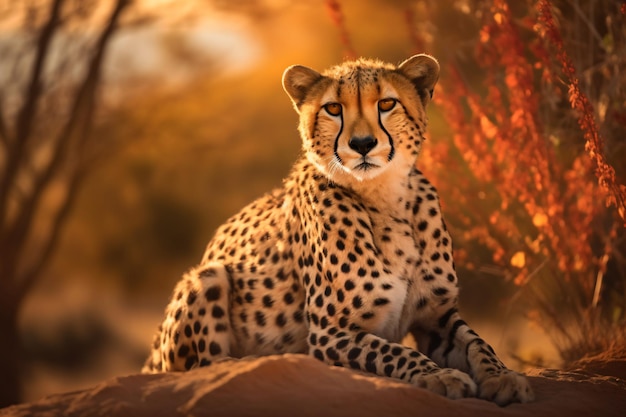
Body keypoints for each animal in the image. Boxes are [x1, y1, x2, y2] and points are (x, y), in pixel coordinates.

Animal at [143, 53, 532, 404]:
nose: (362, 144)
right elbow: (395, 352)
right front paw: (439, 375)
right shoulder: (331, 333)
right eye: (333, 108)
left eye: (387, 103)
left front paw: (504, 377)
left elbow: (479, 343)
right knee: (202, 367)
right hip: (208, 275)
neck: (385, 198)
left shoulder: (437, 318)